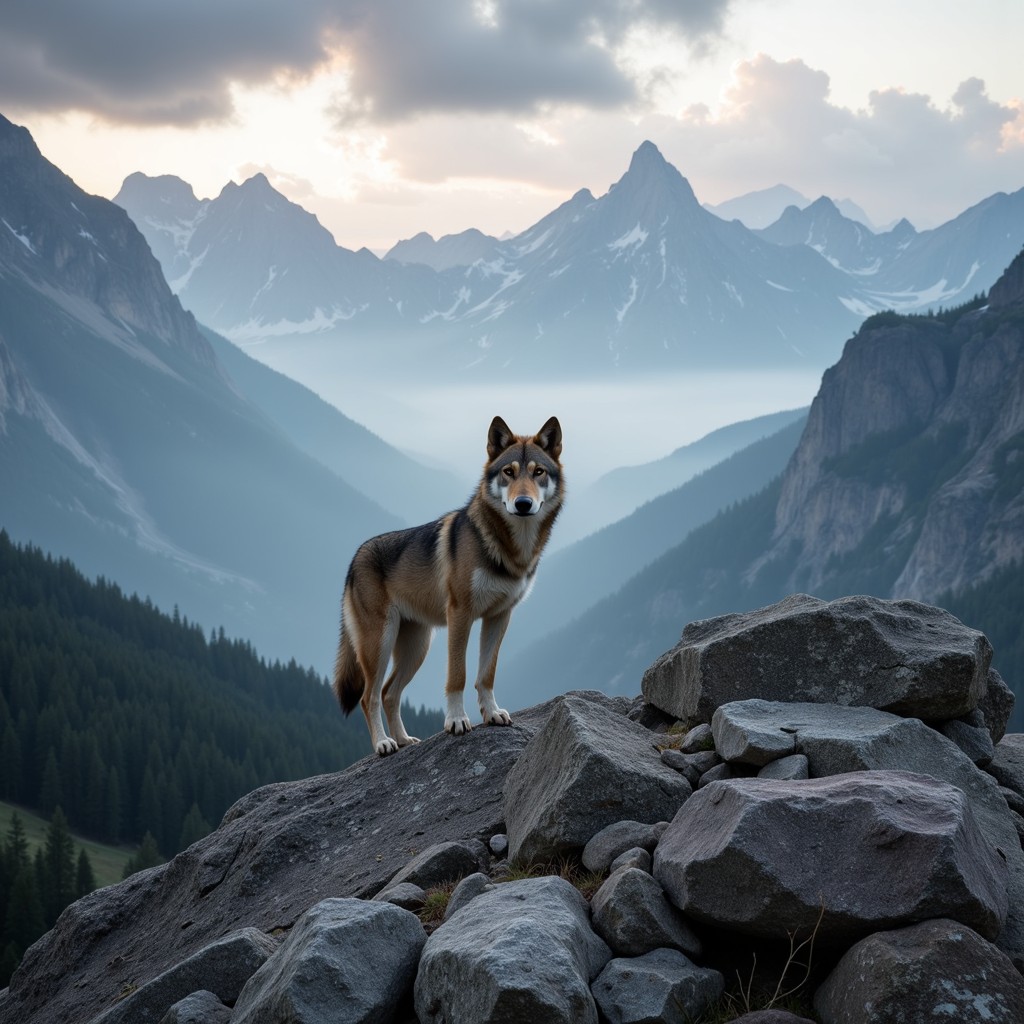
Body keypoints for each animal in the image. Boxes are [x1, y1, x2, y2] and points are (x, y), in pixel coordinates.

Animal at [333, 415, 564, 755]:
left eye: (538, 472)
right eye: (509, 472)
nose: (523, 504)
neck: (508, 548)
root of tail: (353, 559)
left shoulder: (499, 616)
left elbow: (486, 674)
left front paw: (492, 713)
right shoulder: (460, 614)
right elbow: (458, 675)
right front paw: (456, 722)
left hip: (417, 648)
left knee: (389, 693)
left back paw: (404, 740)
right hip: (380, 645)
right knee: (368, 697)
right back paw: (384, 744)